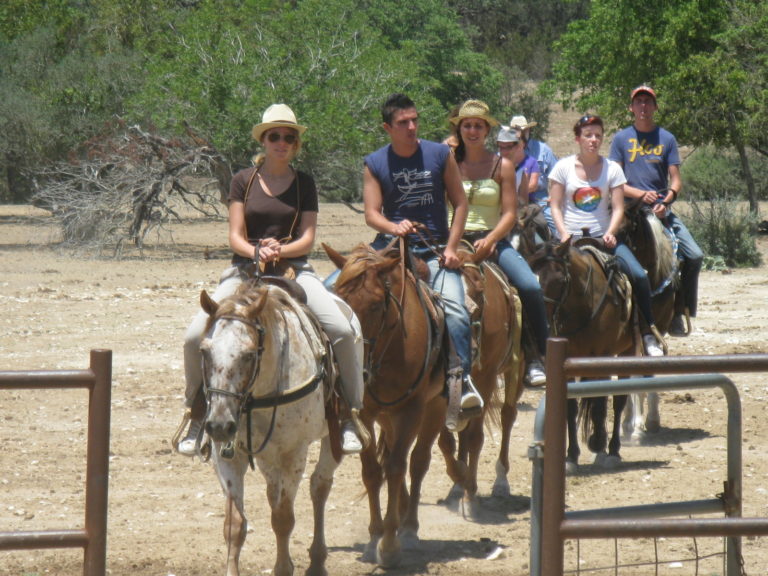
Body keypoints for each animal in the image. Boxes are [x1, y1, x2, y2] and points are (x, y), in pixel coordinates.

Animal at [200, 280, 340, 576]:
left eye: (249, 354)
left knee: (319, 486)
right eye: (204, 351)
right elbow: (234, 525)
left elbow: (283, 519)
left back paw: (320, 558)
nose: (219, 425)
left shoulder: (294, 454)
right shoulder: (226, 455)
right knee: (274, 490)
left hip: (335, 439)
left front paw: (283, 567)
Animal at [320, 242, 462, 568]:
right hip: (388, 416)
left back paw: (408, 527)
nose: (351, 368)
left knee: (419, 461)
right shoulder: (366, 411)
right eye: (340, 301)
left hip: (434, 407)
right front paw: (375, 537)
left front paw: (390, 545)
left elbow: (398, 466)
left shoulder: (411, 410)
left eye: (375, 306)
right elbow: (373, 471)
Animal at [438, 245, 528, 506]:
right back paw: (458, 485)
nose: (470, 350)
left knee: (508, 416)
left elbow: (476, 437)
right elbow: (446, 439)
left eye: (479, 291)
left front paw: (471, 490)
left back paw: (500, 481)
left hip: (516, 370)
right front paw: (458, 477)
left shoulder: (487, 377)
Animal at [528, 238, 636, 472]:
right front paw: (571, 456)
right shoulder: (567, 360)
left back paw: (612, 450)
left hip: (627, 352)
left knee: (618, 400)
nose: (545, 321)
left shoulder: (603, 355)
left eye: (560, 279)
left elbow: (600, 404)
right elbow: (571, 407)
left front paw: (598, 443)